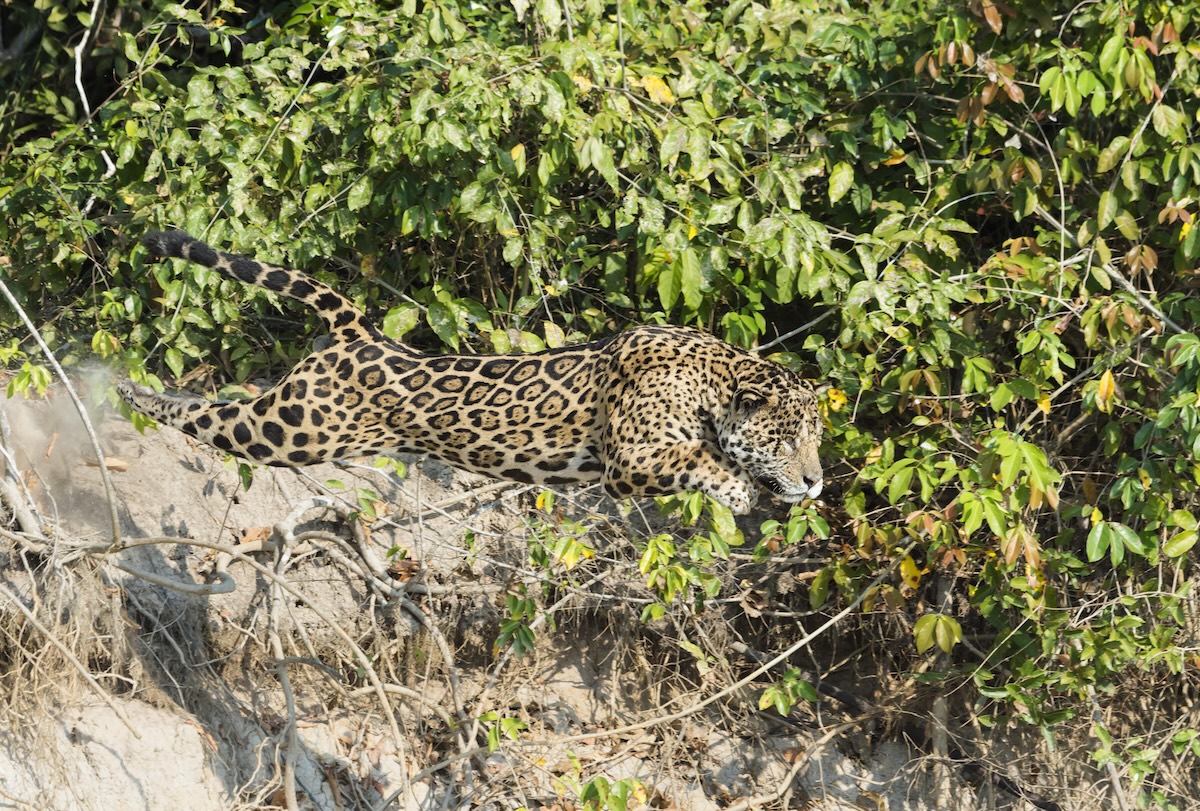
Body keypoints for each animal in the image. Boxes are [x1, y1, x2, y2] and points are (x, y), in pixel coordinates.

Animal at [118, 230, 823, 514]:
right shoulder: (630, 460)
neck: (715, 379)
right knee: (211, 415)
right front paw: (738, 487)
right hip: (293, 430)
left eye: (816, 440)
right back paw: (132, 393)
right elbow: (698, 459)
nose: (816, 482)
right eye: (789, 439)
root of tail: (362, 332)